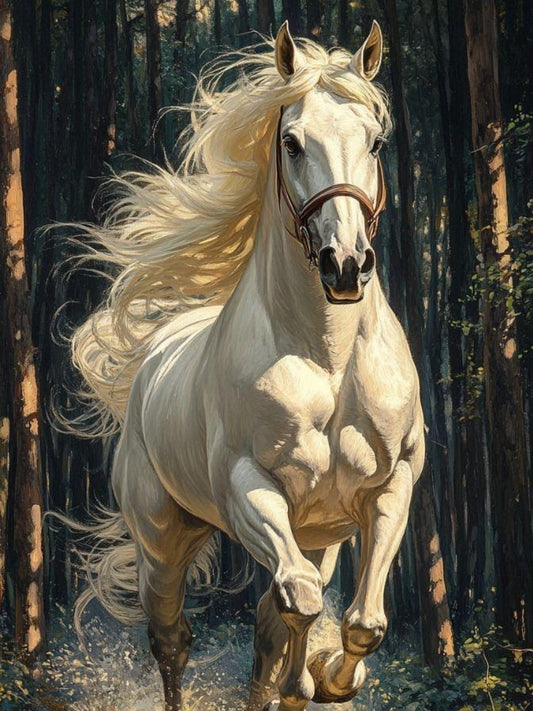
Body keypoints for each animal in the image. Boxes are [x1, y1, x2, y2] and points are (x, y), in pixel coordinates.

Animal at [68, 20, 425, 711]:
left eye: (376, 140)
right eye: (291, 142)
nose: (346, 265)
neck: (326, 358)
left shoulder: (390, 485)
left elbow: (360, 622)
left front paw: (330, 679)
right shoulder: (248, 486)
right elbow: (301, 601)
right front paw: (307, 681)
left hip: (319, 534)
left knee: (275, 611)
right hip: (162, 541)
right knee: (174, 638)